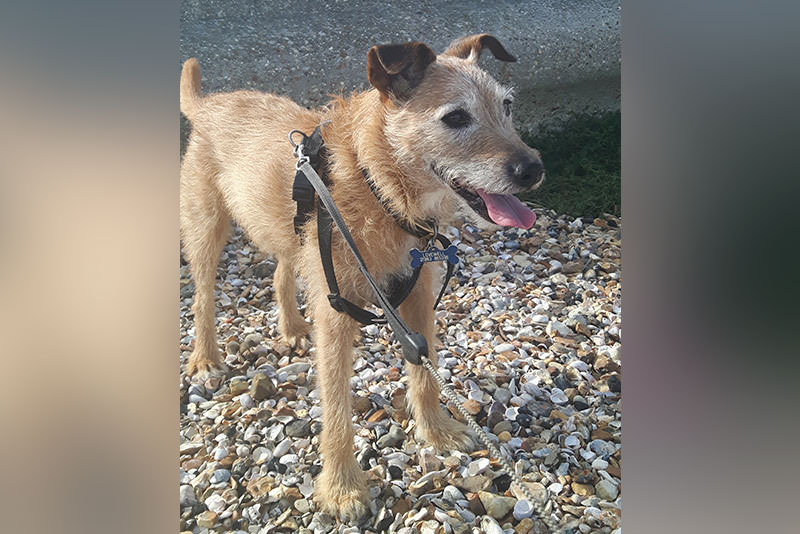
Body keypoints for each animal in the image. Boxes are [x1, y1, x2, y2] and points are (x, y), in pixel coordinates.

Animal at [180, 34, 544, 524]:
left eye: (506, 105)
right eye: (455, 117)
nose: (533, 169)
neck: (377, 183)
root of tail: (207, 104)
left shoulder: (417, 295)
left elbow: (425, 373)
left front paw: (437, 432)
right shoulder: (336, 312)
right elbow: (336, 405)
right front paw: (342, 488)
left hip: (289, 233)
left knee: (281, 270)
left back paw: (292, 328)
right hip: (206, 227)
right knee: (203, 296)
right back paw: (205, 358)